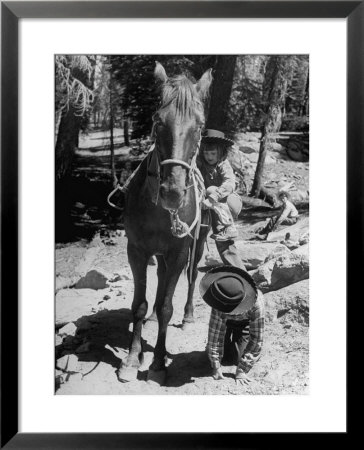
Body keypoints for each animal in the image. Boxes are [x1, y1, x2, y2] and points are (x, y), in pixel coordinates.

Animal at [118, 61, 212, 384]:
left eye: (200, 126)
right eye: (158, 122)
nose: (172, 191)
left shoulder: (179, 252)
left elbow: (167, 308)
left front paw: (158, 360)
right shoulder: (136, 251)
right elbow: (139, 305)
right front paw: (132, 357)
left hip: (197, 245)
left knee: (191, 277)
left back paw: (189, 315)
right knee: (158, 283)